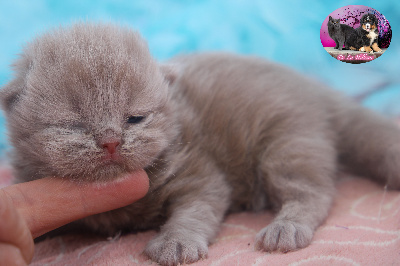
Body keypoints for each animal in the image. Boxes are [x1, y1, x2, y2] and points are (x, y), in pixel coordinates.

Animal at [0, 23, 400, 264]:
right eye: (72, 125)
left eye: (135, 118)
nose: (111, 142)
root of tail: (318, 91)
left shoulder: (198, 172)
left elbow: (196, 210)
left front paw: (175, 243)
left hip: (289, 141)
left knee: (313, 193)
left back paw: (285, 227)